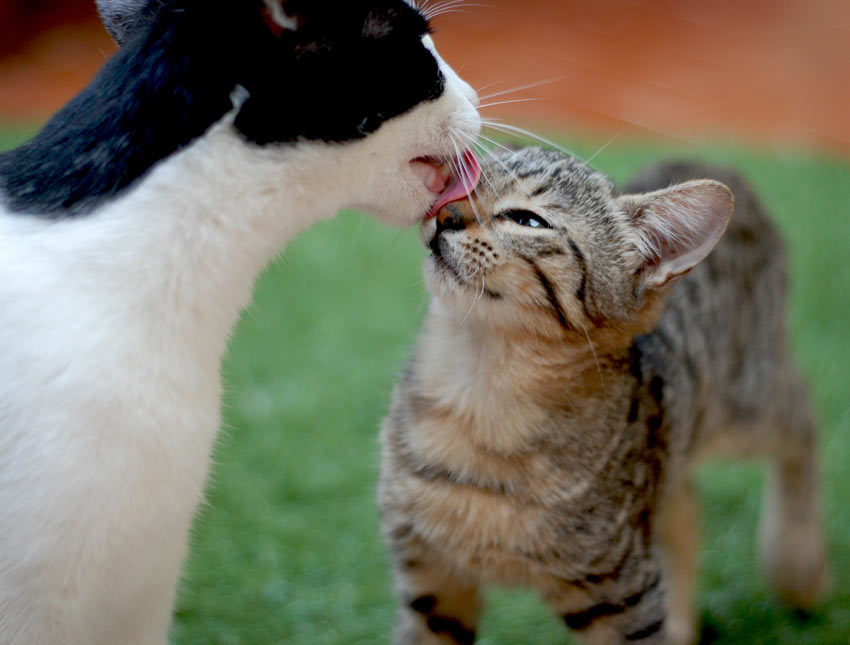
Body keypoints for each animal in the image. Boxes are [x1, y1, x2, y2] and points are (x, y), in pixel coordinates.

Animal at [380, 148, 828, 640]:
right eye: (460, 182)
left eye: (528, 220)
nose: (445, 213)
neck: (478, 392)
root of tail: (711, 161)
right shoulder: (431, 585)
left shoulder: (621, 596)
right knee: (686, 508)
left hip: (746, 398)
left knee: (803, 414)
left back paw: (798, 565)